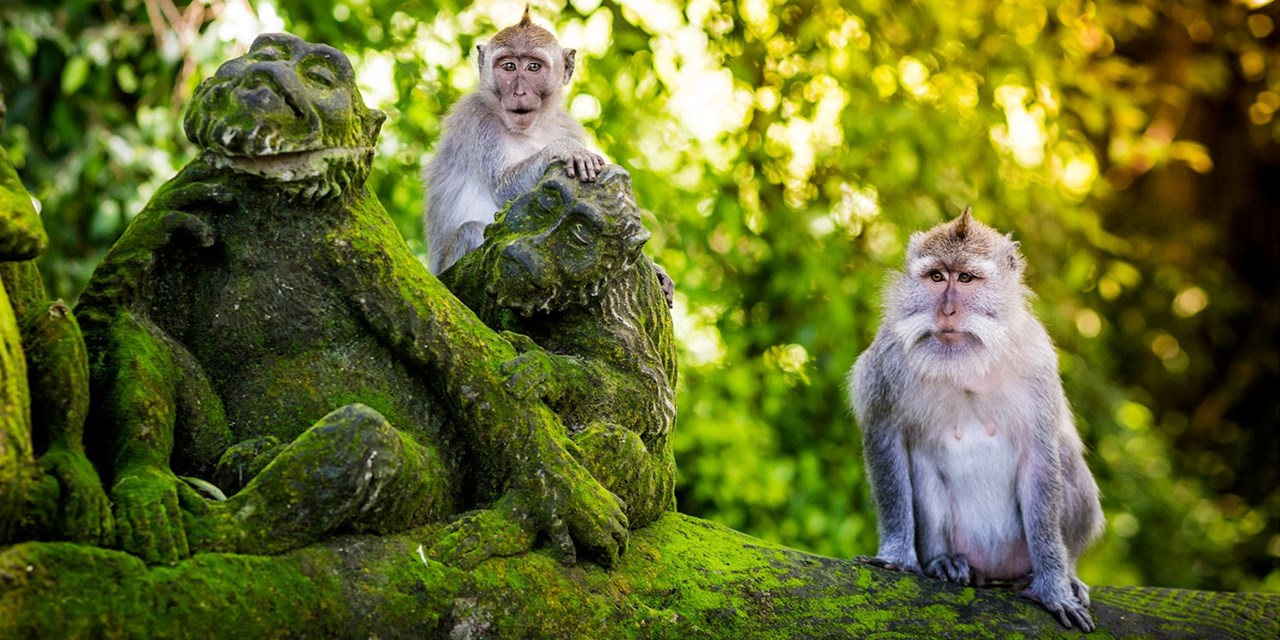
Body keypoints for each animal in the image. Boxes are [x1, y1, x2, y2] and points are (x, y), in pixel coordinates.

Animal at [423, 5, 605, 276]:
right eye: (509, 66)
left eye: (533, 67)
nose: (519, 92)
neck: (530, 129)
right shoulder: (478, 120)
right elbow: (503, 188)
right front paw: (564, 149)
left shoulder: (567, 125)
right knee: (472, 230)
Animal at [848, 207, 1104, 632]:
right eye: (937, 277)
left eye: (966, 278)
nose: (947, 311)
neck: (965, 363)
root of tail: (994, 571)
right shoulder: (887, 361)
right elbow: (885, 438)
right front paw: (898, 555)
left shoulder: (1037, 361)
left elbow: (1041, 458)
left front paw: (1053, 588)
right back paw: (944, 561)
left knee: (1065, 457)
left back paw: (1060, 573)